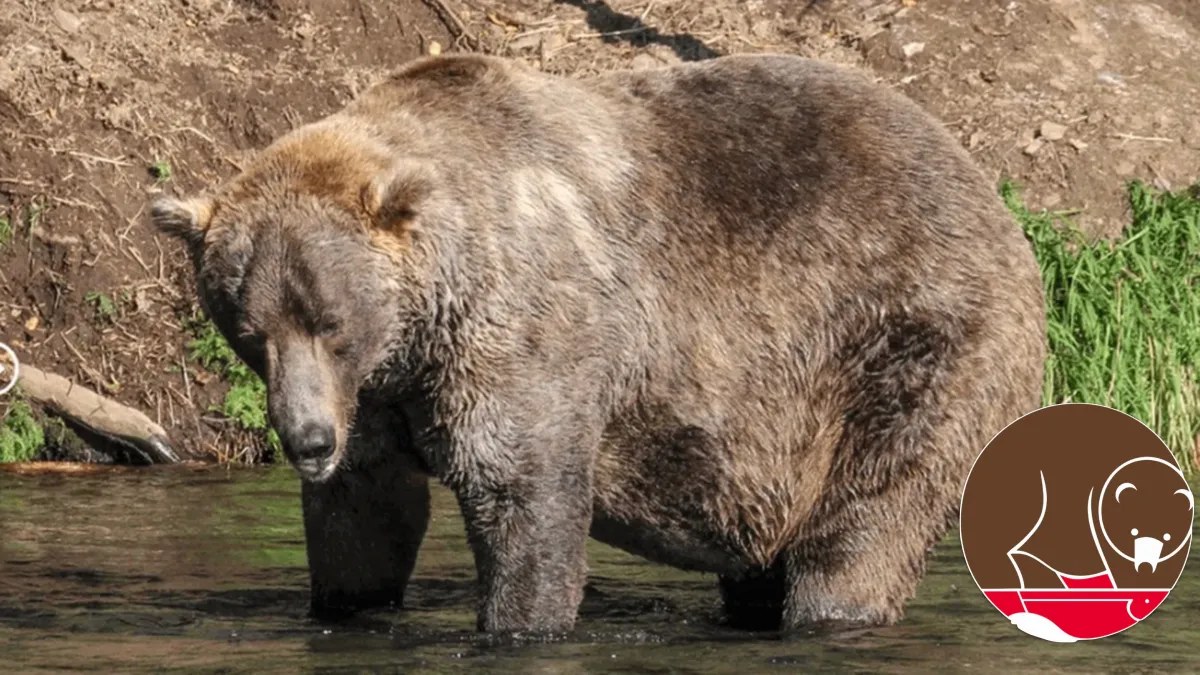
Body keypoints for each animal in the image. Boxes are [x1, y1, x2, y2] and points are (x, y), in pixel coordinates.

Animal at [151, 53, 1047, 634]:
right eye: (251, 331)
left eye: (331, 322)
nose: (306, 440)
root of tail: (988, 189)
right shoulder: (379, 396)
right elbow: (366, 515)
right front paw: (348, 602)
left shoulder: (525, 332)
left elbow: (523, 490)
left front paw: (518, 622)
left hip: (906, 338)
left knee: (868, 515)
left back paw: (834, 608)